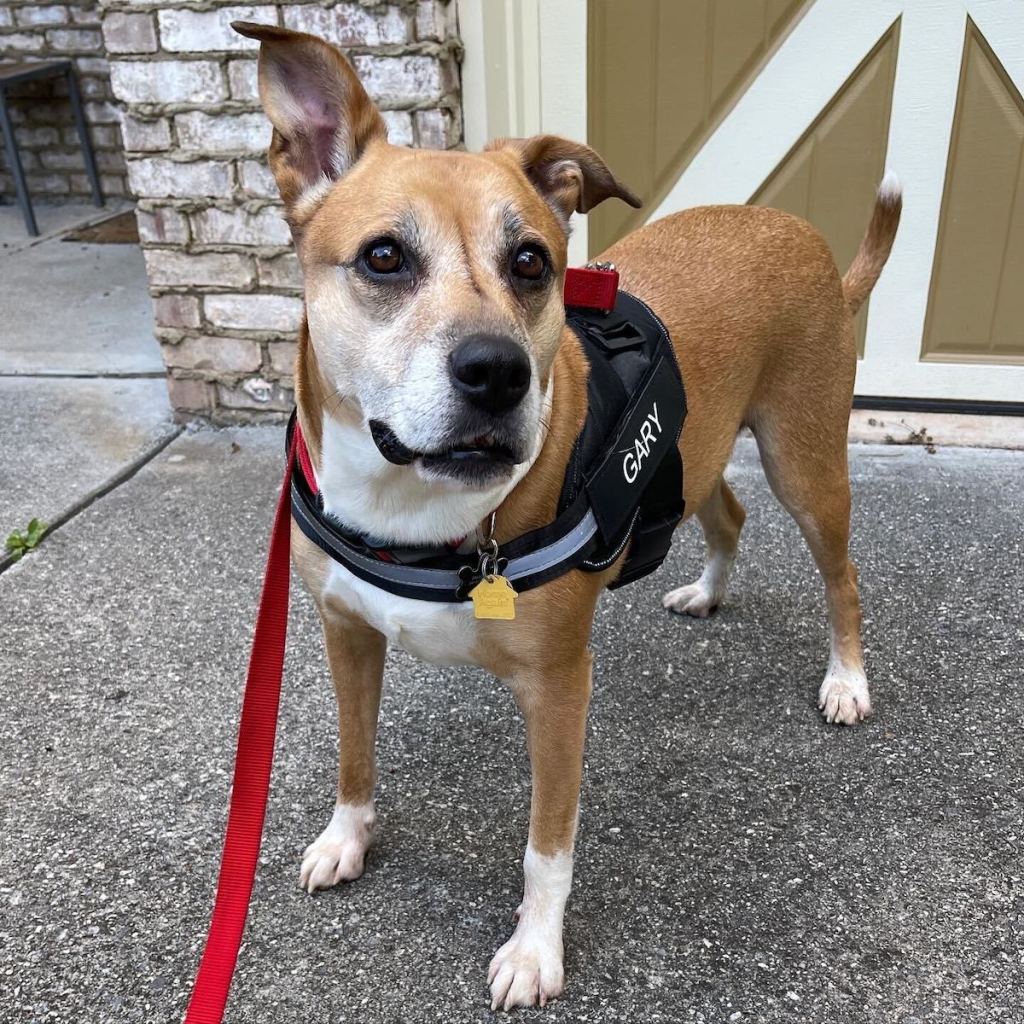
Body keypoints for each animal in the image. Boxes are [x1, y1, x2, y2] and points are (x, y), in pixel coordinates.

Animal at [234, 19, 905, 1011]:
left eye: (530, 263)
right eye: (384, 257)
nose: (497, 372)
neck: (413, 508)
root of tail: (796, 228)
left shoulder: (558, 691)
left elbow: (547, 845)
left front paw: (535, 950)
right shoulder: (344, 633)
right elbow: (355, 756)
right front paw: (347, 839)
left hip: (807, 462)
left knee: (842, 577)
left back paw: (847, 681)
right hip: (697, 451)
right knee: (729, 515)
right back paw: (707, 590)